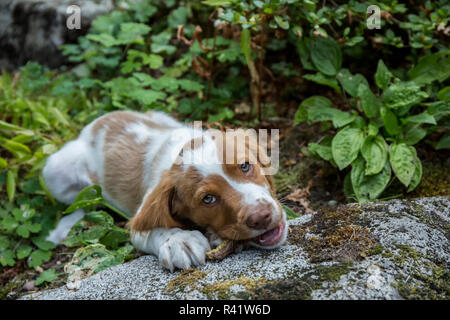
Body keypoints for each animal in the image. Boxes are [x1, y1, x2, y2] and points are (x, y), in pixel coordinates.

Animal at [43, 110, 288, 270]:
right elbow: (157, 229)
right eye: (208, 199)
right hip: (54, 172)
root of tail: (94, 124)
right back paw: (64, 229)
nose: (261, 217)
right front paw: (180, 242)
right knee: (83, 202)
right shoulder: (139, 222)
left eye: (245, 166)